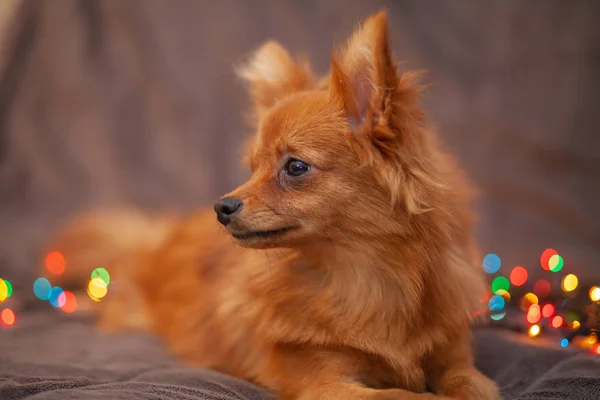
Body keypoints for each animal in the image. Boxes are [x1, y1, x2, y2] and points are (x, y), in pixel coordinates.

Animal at [44, 10, 500, 398]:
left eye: (294, 167)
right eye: (251, 168)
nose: (221, 206)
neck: (366, 277)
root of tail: (159, 236)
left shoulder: (455, 357)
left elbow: (471, 385)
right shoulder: (328, 382)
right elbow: (405, 395)